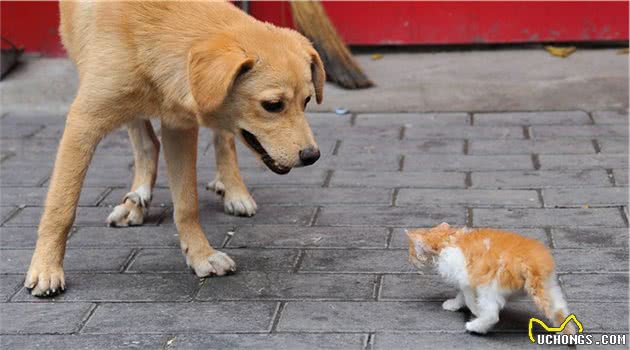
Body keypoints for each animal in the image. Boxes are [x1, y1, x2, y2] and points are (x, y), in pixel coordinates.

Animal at [408, 223, 576, 334]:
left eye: (412, 253)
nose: (411, 261)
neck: (448, 241)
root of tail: (529, 261)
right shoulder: (466, 281)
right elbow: (461, 296)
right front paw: (454, 304)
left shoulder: (467, 278)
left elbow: (468, 298)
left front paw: (475, 311)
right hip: (547, 287)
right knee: (559, 310)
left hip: (489, 286)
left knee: (492, 315)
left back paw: (475, 326)